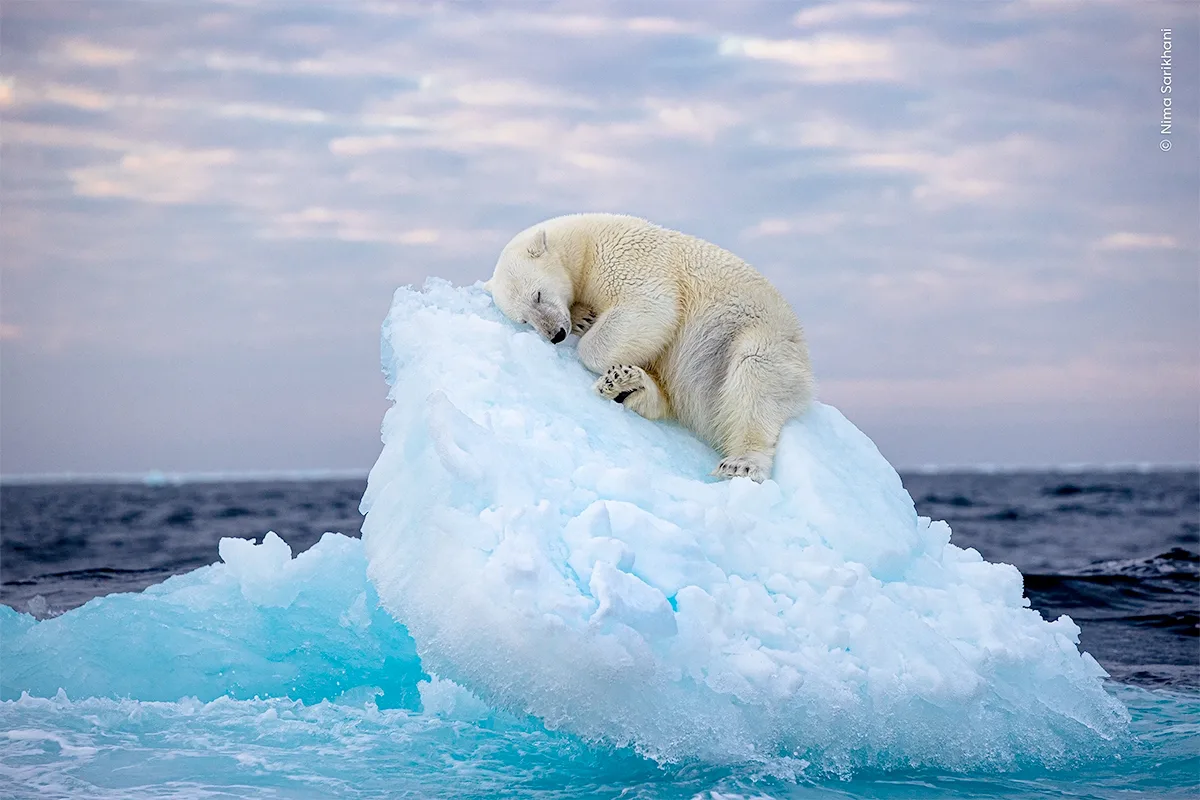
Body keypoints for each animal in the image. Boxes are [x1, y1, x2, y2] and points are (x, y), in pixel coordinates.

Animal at [484, 213, 814, 482]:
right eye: (524, 319)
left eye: (538, 295)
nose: (555, 334)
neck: (585, 243)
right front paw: (583, 318)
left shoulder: (627, 259)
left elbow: (650, 308)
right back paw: (626, 385)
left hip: (757, 337)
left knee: (754, 377)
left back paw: (741, 463)